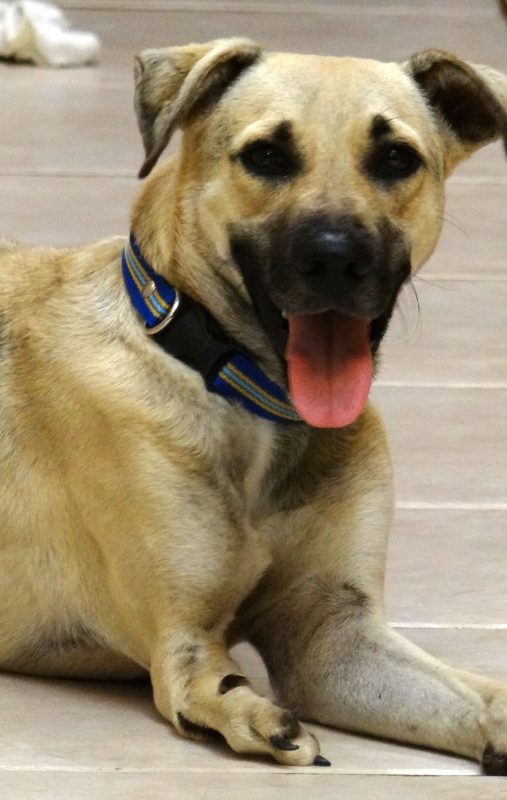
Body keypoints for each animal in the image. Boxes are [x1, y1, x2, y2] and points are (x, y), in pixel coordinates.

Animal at [0, 38, 506, 772]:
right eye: (266, 155)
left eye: (395, 158)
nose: (336, 259)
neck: (251, 399)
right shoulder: (183, 639)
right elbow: (209, 684)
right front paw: (250, 712)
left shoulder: (333, 636)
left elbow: (481, 698)